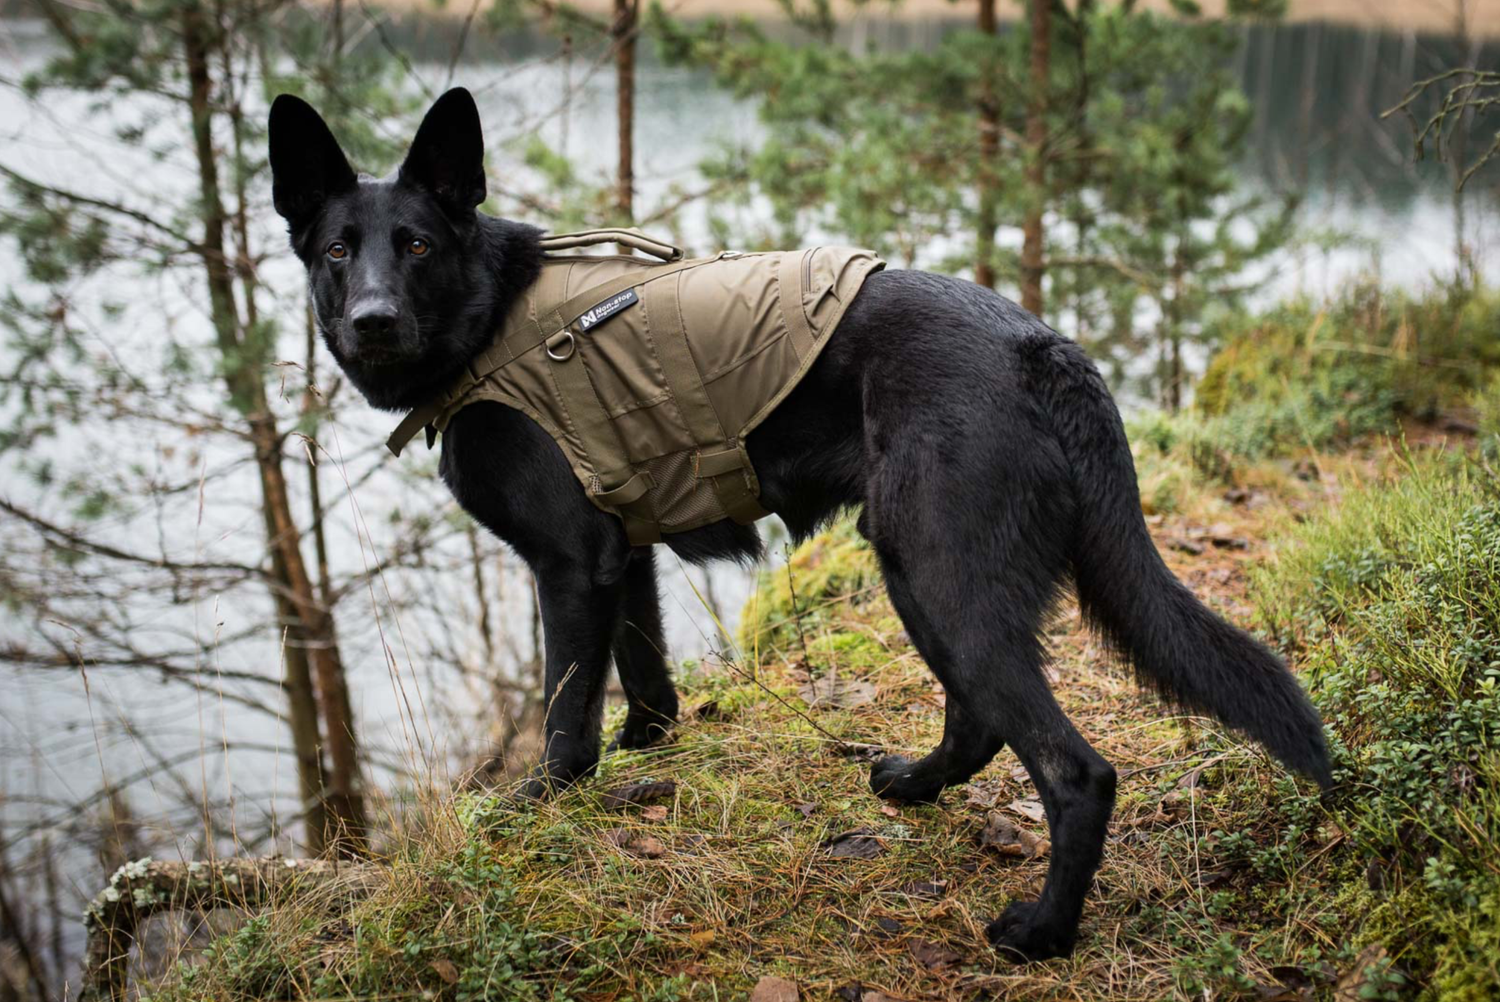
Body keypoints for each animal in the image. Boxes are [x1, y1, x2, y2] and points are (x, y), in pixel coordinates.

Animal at [264, 88, 1332, 960]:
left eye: (416, 245)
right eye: (336, 250)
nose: (371, 320)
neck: (493, 322)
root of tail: (1045, 347)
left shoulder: (569, 566)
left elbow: (566, 712)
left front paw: (541, 804)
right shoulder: (624, 555)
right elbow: (647, 680)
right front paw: (649, 750)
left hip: (939, 570)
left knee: (1076, 772)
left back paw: (1042, 934)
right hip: (919, 569)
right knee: (979, 719)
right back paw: (916, 787)